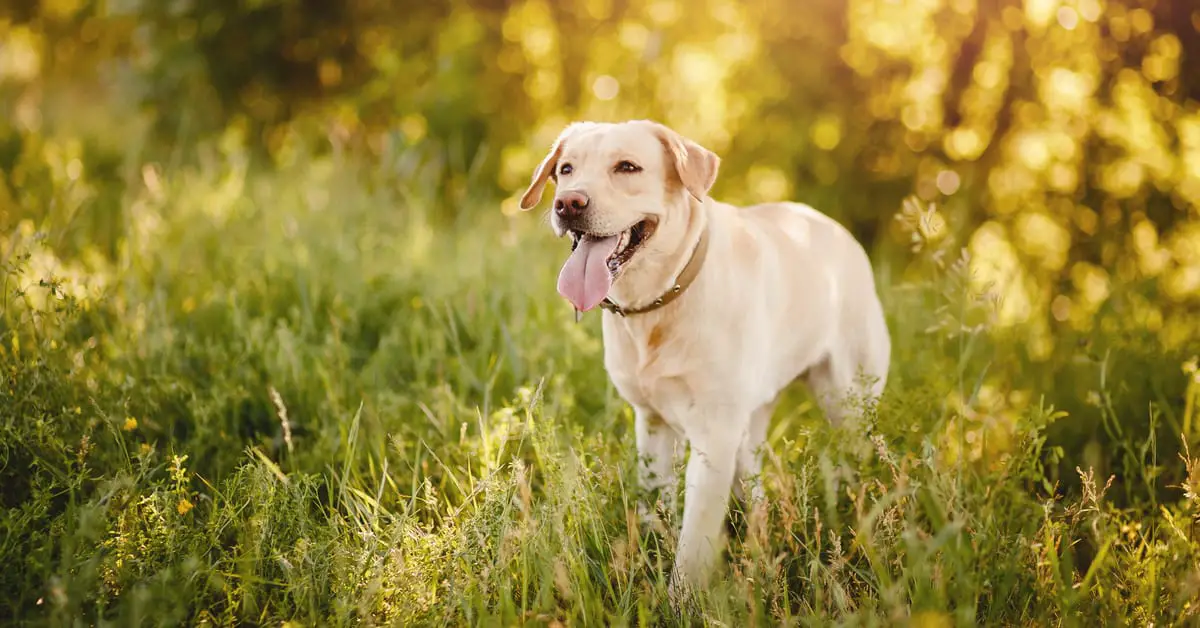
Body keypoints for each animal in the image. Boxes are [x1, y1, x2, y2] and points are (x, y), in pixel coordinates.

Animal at [516, 119, 892, 600]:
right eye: (565, 169)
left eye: (627, 167)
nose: (568, 203)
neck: (659, 302)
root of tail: (833, 226)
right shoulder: (653, 424)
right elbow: (654, 507)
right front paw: (648, 561)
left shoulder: (713, 437)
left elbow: (695, 541)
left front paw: (681, 602)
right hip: (751, 422)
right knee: (755, 484)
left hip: (847, 404)